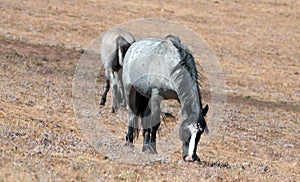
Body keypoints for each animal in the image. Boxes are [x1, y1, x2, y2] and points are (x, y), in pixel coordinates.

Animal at [122, 34, 209, 162]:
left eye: (200, 133)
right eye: (185, 129)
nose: (190, 157)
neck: (171, 66)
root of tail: (133, 46)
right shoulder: (156, 95)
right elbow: (155, 123)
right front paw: (152, 150)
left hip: (146, 95)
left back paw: (144, 146)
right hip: (129, 89)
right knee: (132, 113)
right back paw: (129, 143)